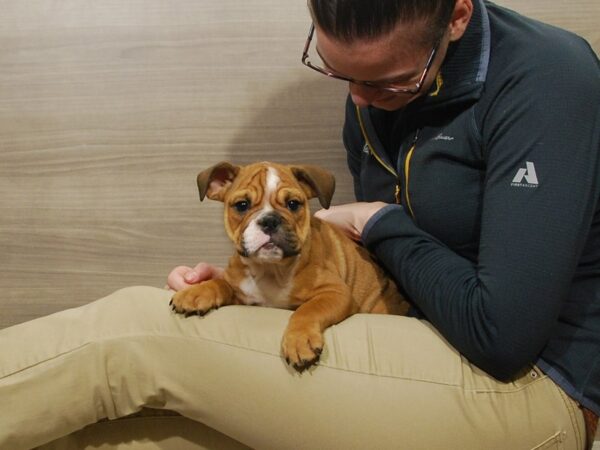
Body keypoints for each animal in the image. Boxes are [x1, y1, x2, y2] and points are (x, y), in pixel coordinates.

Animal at [171, 160, 410, 370]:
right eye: (242, 205)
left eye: (293, 204)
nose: (269, 220)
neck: (271, 269)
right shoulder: (241, 291)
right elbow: (220, 282)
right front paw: (196, 292)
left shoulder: (334, 292)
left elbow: (308, 310)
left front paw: (299, 340)